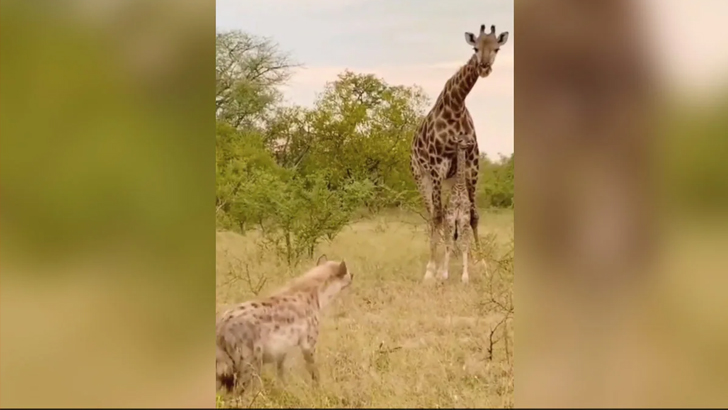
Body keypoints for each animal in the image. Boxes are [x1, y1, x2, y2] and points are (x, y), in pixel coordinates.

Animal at [216, 256, 352, 394]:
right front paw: (318, 388)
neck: (317, 295)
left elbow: (281, 369)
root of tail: (221, 327)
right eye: (348, 272)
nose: (352, 275)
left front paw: (283, 388)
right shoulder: (308, 343)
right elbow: (313, 369)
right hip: (250, 360)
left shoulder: (282, 348)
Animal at [412, 23, 510, 282]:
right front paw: (432, 269)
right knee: (432, 214)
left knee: (447, 215)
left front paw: (481, 263)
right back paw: (434, 263)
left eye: (496, 48)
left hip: (448, 180)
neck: (456, 105)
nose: (484, 67)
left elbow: (473, 215)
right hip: (421, 177)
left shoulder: (473, 164)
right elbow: (437, 216)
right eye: (475, 48)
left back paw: (453, 254)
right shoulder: (436, 165)